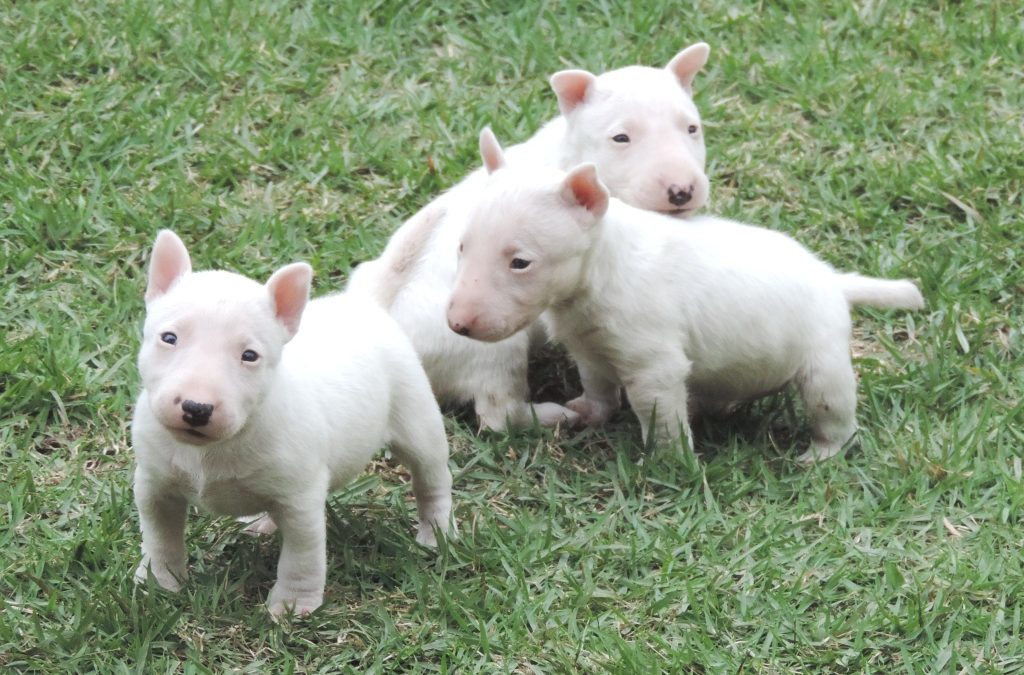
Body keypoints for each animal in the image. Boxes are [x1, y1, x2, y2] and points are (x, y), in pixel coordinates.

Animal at [134, 231, 454, 618]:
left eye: (249, 356)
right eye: (169, 338)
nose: (197, 408)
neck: (213, 448)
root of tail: (365, 305)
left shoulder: (300, 501)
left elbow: (301, 555)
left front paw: (293, 605)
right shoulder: (154, 485)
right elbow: (160, 536)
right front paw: (159, 582)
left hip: (416, 416)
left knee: (432, 477)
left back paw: (436, 534)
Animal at [346, 44, 712, 432]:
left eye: (692, 129)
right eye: (621, 138)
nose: (681, 191)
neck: (570, 155)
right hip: (491, 347)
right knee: (498, 414)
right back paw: (555, 414)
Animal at [444, 137, 925, 465]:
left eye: (520, 262)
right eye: (462, 247)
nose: (457, 325)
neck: (603, 267)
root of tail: (832, 279)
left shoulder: (654, 364)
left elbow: (660, 414)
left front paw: (669, 465)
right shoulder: (590, 347)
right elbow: (597, 385)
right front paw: (586, 412)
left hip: (822, 360)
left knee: (835, 409)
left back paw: (822, 453)